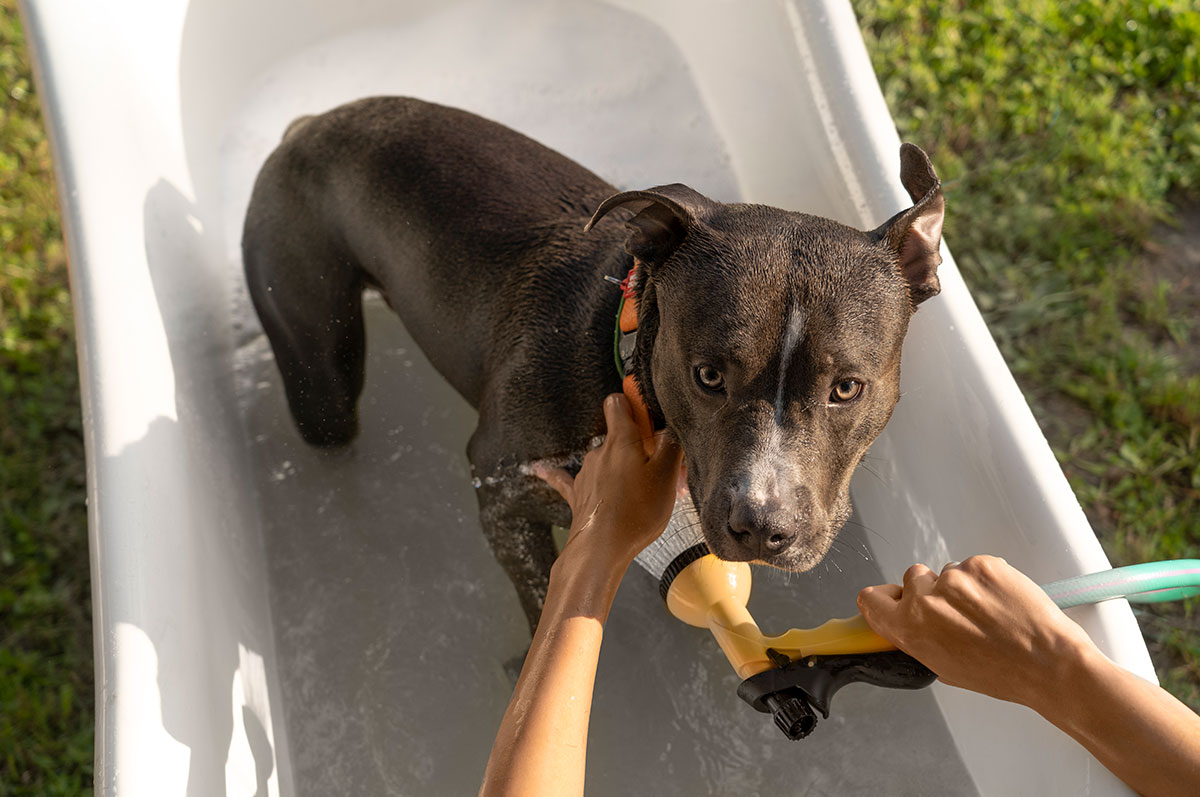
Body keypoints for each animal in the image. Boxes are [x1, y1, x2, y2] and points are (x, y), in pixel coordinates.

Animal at [238, 94, 940, 628]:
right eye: (708, 376)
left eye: (847, 388)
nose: (764, 526)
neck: (623, 367)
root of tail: (312, 124)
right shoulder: (501, 494)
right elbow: (542, 603)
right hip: (317, 367)